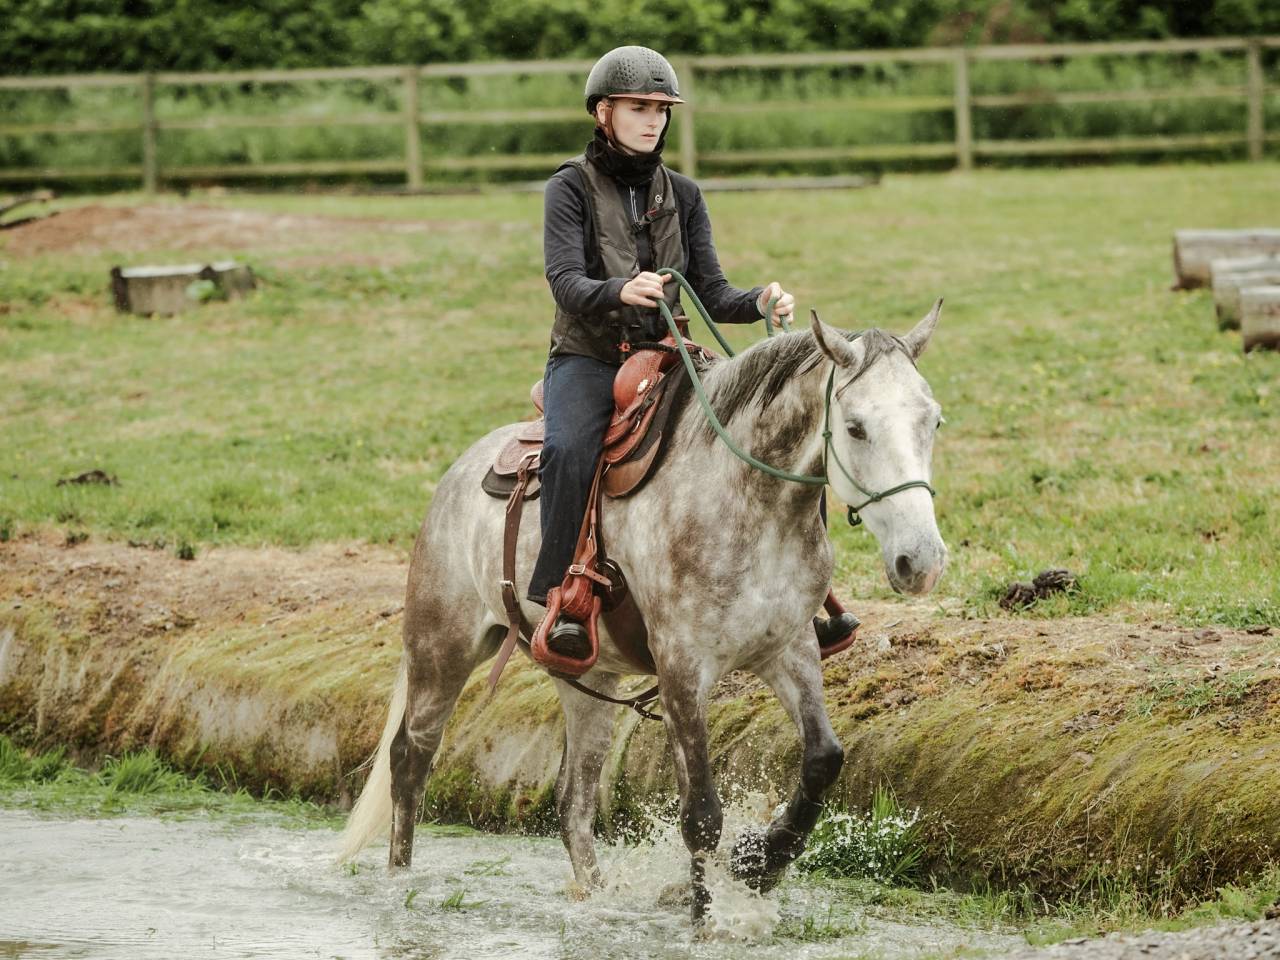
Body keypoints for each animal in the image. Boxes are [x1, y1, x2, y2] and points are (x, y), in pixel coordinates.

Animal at [338, 304, 948, 925]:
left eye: (934, 422)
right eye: (856, 427)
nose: (921, 561)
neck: (746, 502)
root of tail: (456, 475)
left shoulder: (789, 649)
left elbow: (824, 759)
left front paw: (757, 864)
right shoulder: (682, 666)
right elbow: (701, 812)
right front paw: (705, 918)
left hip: (587, 681)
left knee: (573, 800)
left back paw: (594, 896)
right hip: (442, 651)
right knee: (410, 760)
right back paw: (399, 879)